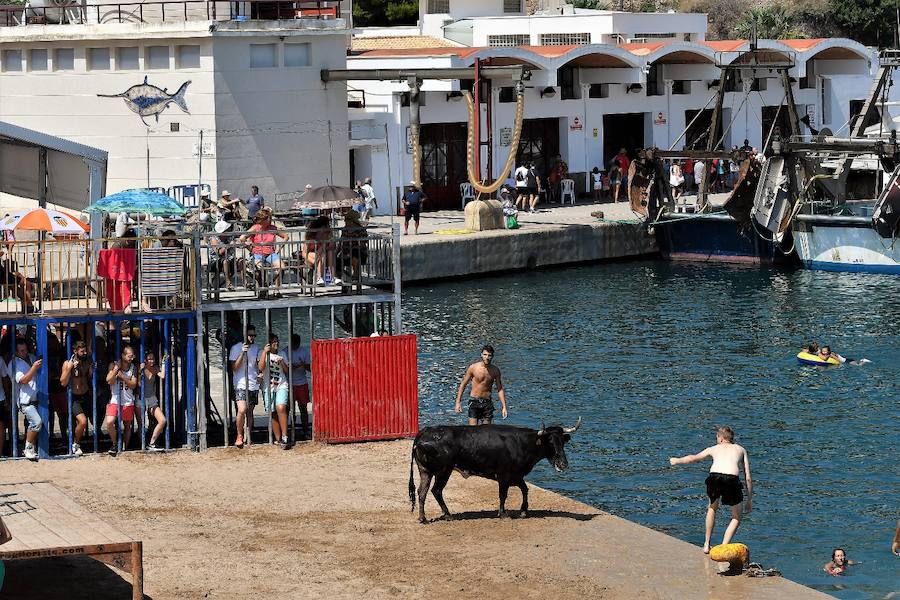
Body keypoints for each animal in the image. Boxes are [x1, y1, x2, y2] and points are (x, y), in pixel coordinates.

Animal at [410, 420, 584, 524]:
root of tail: (424, 432)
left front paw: (523, 511)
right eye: (550, 442)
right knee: (436, 490)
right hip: (443, 471)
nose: (563, 464)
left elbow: (525, 489)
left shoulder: (517, 475)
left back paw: (422, 517)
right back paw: (447, 515)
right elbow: (503, 494)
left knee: (422, 491)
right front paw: (503, 513)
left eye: (562, 442)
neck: (522, 443)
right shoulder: (504, 475)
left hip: (425, 471)